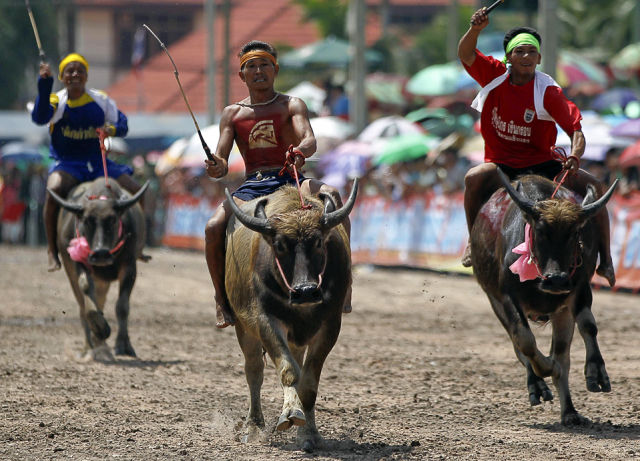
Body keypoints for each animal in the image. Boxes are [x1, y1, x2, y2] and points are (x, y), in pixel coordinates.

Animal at [48, 177, 148, 362]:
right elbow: (86, 293)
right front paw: (100, 329)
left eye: (113, 219)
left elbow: (122, 306)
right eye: (87, 220)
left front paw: (123, 345)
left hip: (103, 281)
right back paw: (90, 347)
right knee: (83, 306)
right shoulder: (77, 262)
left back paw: (102, 346)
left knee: (100, 301)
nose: (101, 253)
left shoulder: (130, 266)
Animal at [223, 179, 358, 452]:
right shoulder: (265, 319)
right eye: (280, 245)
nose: (305, 290)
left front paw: (309, 433)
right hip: (243, 326)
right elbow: (288, 371)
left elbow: (309, 383)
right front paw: (290, 414)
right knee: (254, 371)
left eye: (318, 242)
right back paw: (253, 427)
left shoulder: (330, 325)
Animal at [470, 170, 617, 425]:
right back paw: (537, 385)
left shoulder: (578, 289)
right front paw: (546, 368)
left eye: (575, 232)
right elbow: (525, 341)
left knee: (564, 353)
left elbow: (588, 327)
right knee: (520, 344)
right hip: (494, 299)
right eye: (539, 231)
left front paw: (596, 373)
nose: (556, 280)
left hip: (562, 310)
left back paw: (569, 411)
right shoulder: (505, 297)